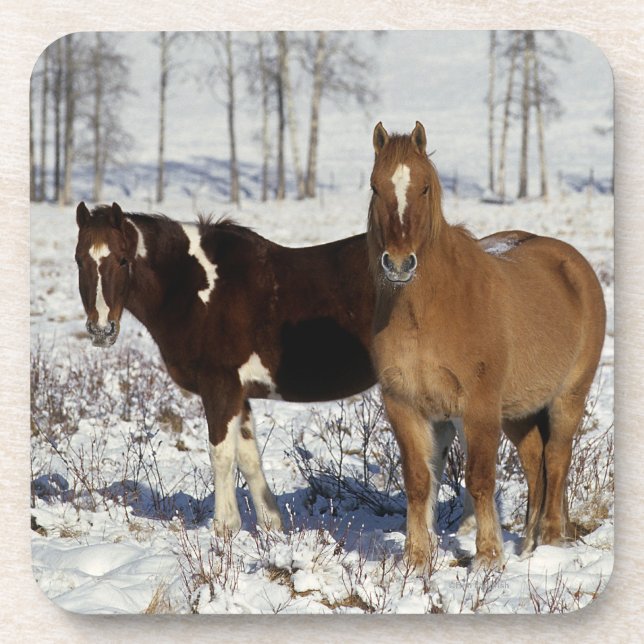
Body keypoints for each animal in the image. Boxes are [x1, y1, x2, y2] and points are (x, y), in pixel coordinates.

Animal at [367, 121, 606, 570]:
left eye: (424, 188)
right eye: (375, 186)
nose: (399, 264)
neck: (427, 311)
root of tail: (572, 264)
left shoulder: (477, 407)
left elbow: (479, 479)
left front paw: (488, 557)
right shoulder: (405, 405)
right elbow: (418, 481)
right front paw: (416, 558)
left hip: (567, 396)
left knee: (557, 457)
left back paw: (550, 540)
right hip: (516, 411)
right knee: (534, 460)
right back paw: (528, 543)